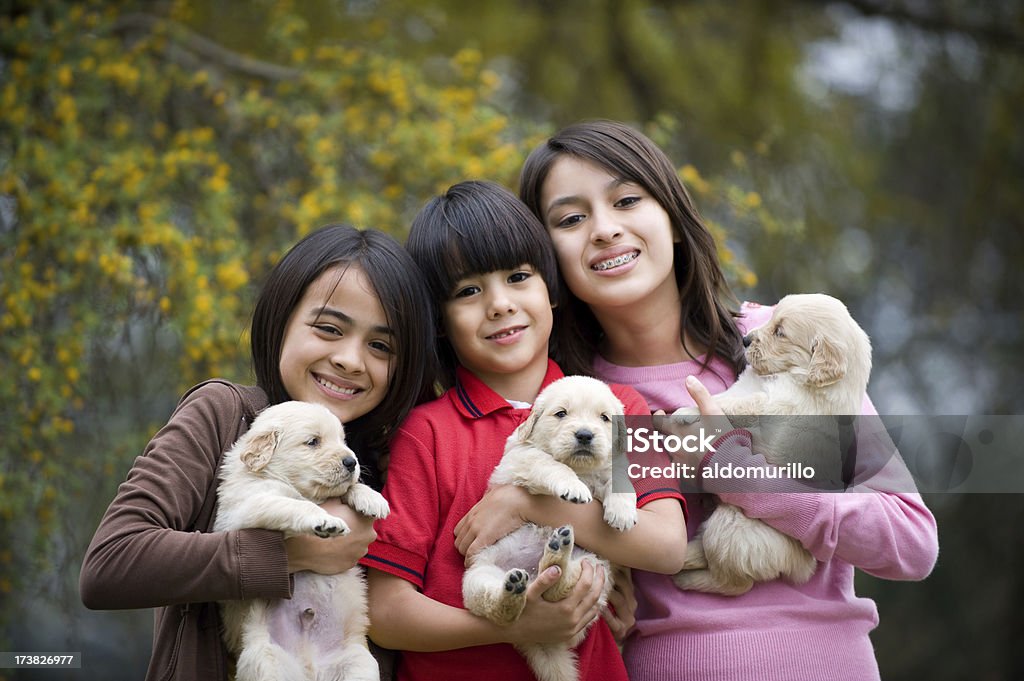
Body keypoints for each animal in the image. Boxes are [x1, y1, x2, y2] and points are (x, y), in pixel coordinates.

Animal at [214, 401, 389, 679]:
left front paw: (372, 498)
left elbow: (348, 487)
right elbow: (292, 504)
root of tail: (310, 669)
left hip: (359, 662)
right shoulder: (247, 507)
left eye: (342, 440)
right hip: (265, 660)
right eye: (313, 442)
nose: (352, 462)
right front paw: (325, 520)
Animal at [462, 374, 630, 679]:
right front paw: (573, 487)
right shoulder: (521, 457)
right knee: (499, 606)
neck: (582, 469)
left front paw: (623, 511)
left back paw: (556, 552)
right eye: (561, 414)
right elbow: (551, 464)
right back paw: (515, 588)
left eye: (604, 418)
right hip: (477, 579)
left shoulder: (612, 465)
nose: (585, 435)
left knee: (557, 585)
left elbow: (620, 477)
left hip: (593, 569)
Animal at [671, 292, 872, 593]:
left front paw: (683, 411)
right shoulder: (746, 388)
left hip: (731, 525)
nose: (745, 340)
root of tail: (802, 564)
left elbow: (729, 405)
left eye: (780, 333)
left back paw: (684, 578)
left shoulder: (765, 406)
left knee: (732, 582)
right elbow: (724, 395)